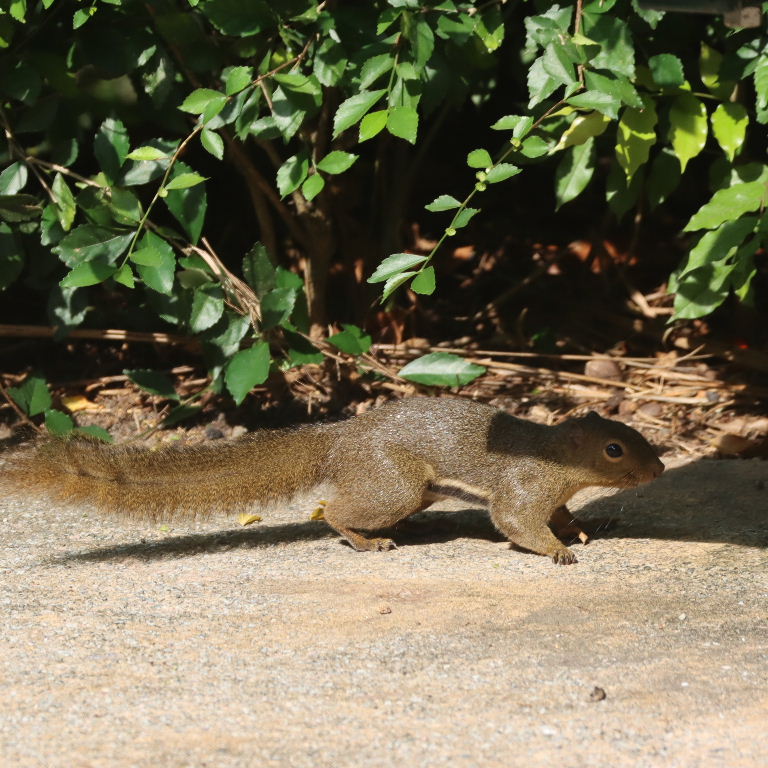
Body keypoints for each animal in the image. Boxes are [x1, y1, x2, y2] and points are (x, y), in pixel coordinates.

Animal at [1, 397, 664, 564]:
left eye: (633, 434)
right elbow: (517, 523)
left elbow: (560, 515)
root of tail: (341, 439)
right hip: (393, 486)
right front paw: (557, 552)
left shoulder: (553, 494)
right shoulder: (524, 486)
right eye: (614, 450)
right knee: (334, 513)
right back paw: (369, 541)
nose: (659, 469)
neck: (557, 460)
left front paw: (580, 531)